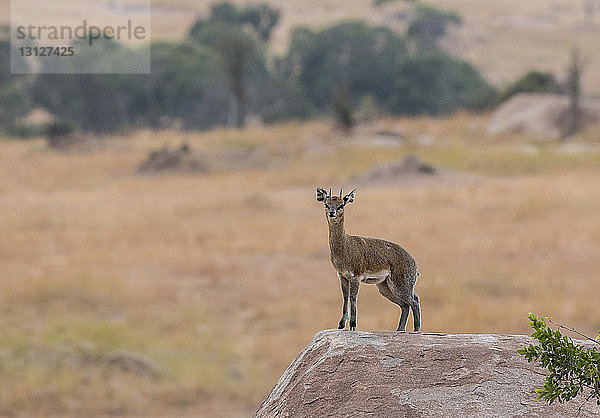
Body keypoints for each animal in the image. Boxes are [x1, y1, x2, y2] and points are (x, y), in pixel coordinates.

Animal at [314, 188, 422, 332]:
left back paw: (416, 329)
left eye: (341, 205)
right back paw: (400, 329)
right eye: (326, 204)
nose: (332, 213)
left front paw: (353, 325)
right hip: (384, 287)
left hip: (400, 285)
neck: (345, 247)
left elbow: (353, 298)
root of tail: (414, 264)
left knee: (414, 300)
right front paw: (341, 325)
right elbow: (345, 297)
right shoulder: (342, 276)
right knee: (405, 305)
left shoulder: (355, 277)